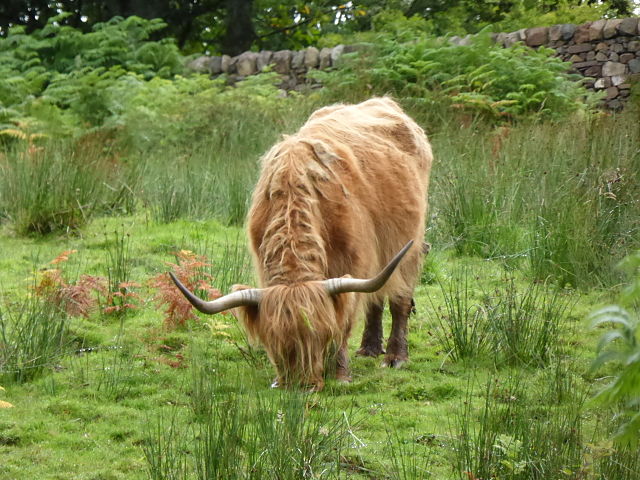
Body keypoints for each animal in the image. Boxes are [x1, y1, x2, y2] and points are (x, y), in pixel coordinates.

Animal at [170, 96, 432, 390]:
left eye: (321, 335)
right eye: (273, 340)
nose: (301, 385)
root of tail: (382, 100)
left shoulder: (353, 262)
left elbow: (345, 318)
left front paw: (341, 373)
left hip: (406, 245)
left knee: (400, 298)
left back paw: (395, 357)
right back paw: (369, 349)